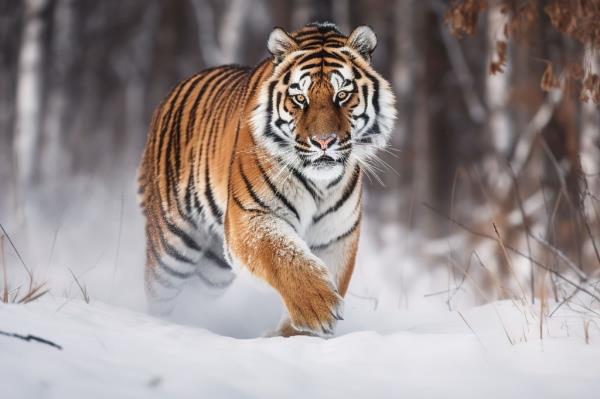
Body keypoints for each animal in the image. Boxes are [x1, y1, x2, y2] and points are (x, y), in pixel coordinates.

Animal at [138, 21, 396, 338]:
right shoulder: (252, 215)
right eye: (300, 98)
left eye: (342, 95)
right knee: (160, 293)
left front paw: (298, 335)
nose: (324, 142)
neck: (320, 185)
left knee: (194, 296)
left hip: (212, 268)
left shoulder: (336, 235)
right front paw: (318, 306)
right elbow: (283, 254)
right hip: (172, 246)